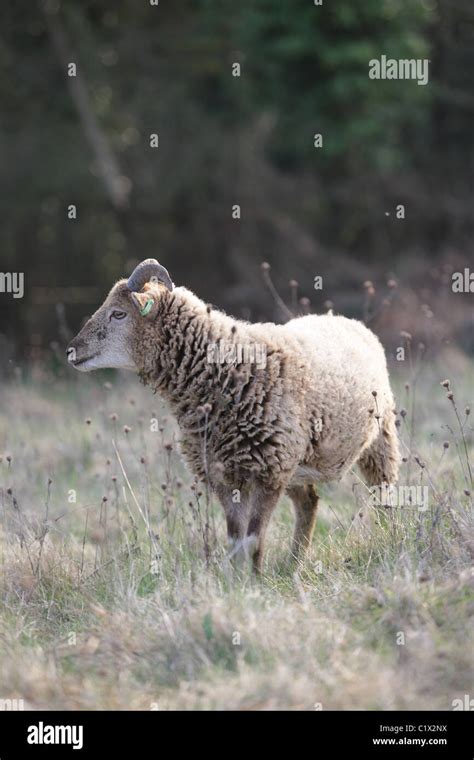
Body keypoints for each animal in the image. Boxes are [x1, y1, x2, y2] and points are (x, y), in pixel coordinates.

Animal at [66, 260, 400, 568]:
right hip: (295, 466)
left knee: (385, 493)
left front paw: (253, 583)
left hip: (379, 439)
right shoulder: (225, 475)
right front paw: (237, 582)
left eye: (119, 314)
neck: (228, 370)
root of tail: (343, 319)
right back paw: (293, 564)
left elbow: (252, 539)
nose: (72, 351)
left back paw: (388, 539)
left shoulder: (268, 473)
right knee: (309, 502)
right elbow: (235, 540)